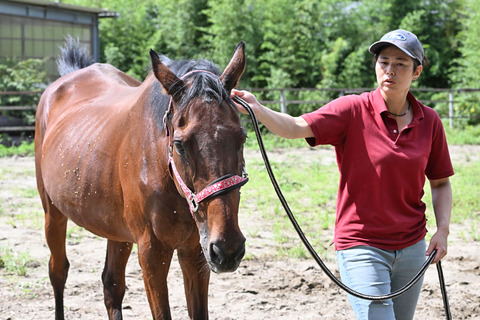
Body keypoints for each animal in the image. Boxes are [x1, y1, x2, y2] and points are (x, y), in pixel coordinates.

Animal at [34, 40, 248, 320]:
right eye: (179, 145)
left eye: (242, 137)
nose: (228, 249)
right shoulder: (152, 254)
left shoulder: (195, 252)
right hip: (53, 213)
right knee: (58, 272)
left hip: (117, 231)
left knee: (111, 285)